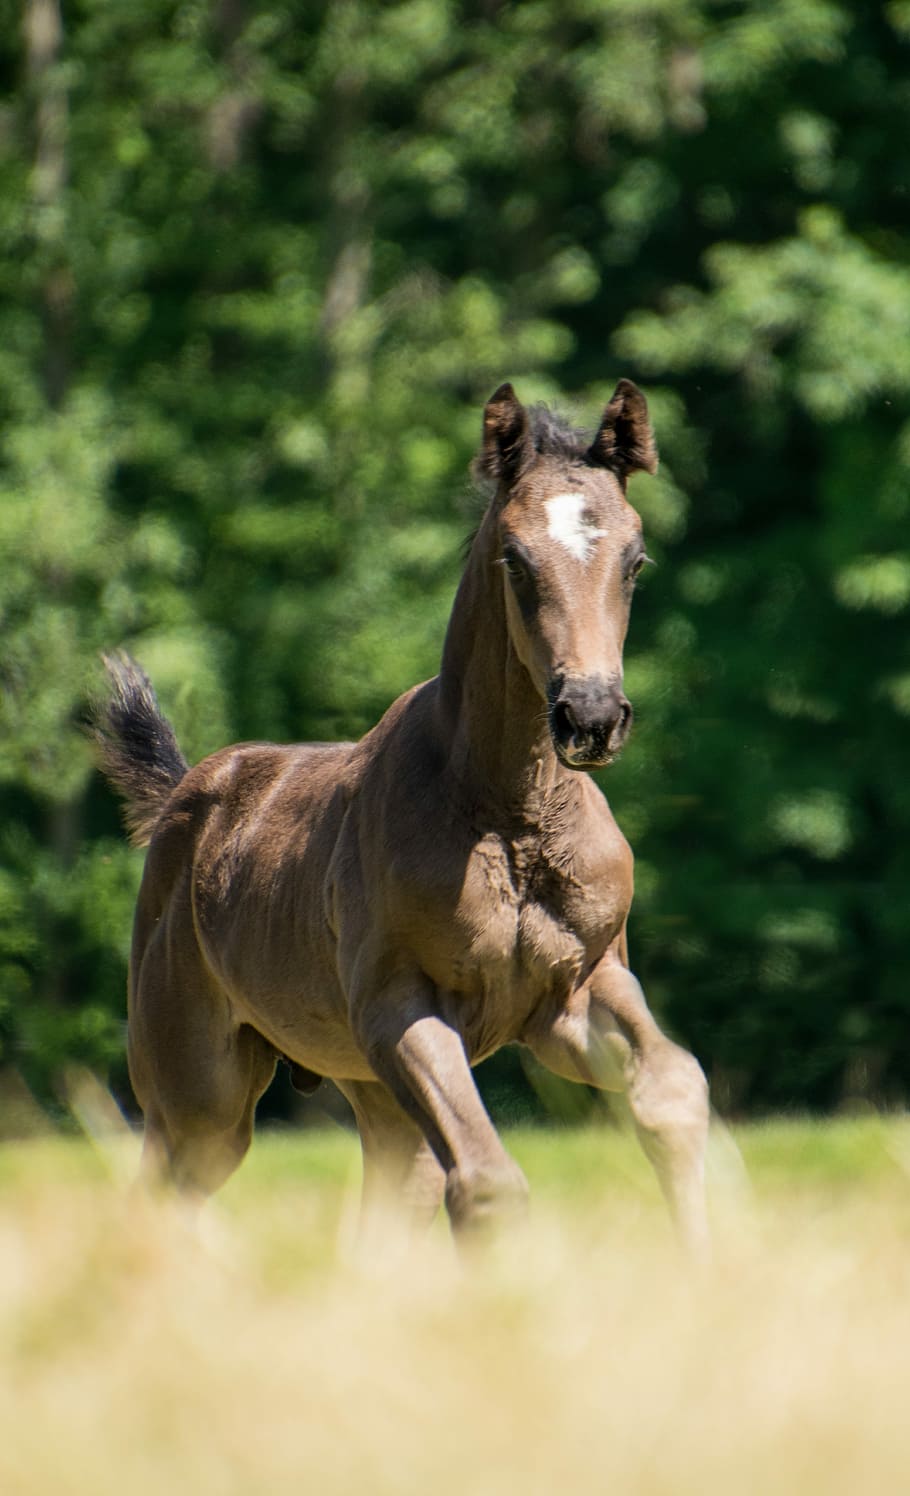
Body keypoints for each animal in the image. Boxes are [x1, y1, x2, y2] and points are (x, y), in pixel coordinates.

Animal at [93, 379, 709, 1253]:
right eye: (515, 559)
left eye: (635, 559)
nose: (589, 715)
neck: (509, 815)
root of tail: (185, 796)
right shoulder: (398, 1008)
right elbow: (488, 1183)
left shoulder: (577, 990)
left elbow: (675, 1091)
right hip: (197, 1092)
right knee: (162, 1189)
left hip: (369, 1092)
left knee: (391, 1195)